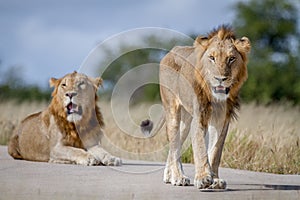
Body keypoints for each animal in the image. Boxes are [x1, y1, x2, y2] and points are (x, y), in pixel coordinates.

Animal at [141, 25, 251, 190]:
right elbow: (200, 148)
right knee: (174, 145)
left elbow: (215, 151)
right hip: (173, 112)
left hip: (186, 120)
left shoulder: (222, 121)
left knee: (176, 144)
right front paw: (203, 178)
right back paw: (178, 177)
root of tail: (171, 51)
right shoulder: (199, 117)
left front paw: (215, 180)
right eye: (212, 58)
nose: (220, 79)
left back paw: (169, 176)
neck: (216, 98)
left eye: (231, 58)